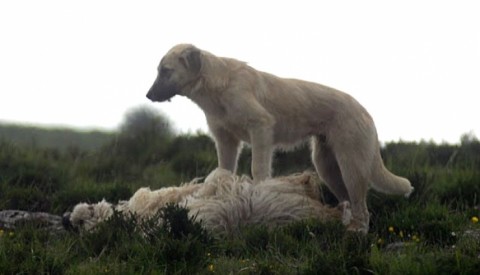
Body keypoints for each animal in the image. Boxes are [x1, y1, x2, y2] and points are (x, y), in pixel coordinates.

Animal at [146, 44, 412, 234]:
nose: (148, 96)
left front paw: (259, 194)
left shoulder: (261, 129)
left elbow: (258, 169)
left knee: (363, 210)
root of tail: (364, 110)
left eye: (166, 71)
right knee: (348, 203)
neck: (217, 86)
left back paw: (356, 234)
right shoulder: (226, 141)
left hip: (351, 167)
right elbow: (224, 171)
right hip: (326, 167)